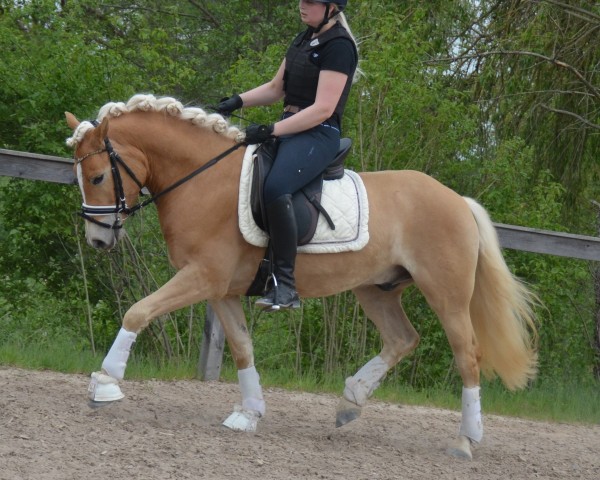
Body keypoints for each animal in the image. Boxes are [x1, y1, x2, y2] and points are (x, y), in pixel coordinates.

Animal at [65, 93, 540, 458]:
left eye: (98, 176)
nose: (98, 241)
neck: (205, 180)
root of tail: (458, 201)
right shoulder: (221, 289)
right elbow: (242, 348)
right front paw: (248, 413)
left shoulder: (202, 277)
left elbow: (137, 312)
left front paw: (105, 383)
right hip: (376, 289)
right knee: (403, 339)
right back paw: (351, 402)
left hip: (447, 294)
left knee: (468, 356)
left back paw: (464, 441)